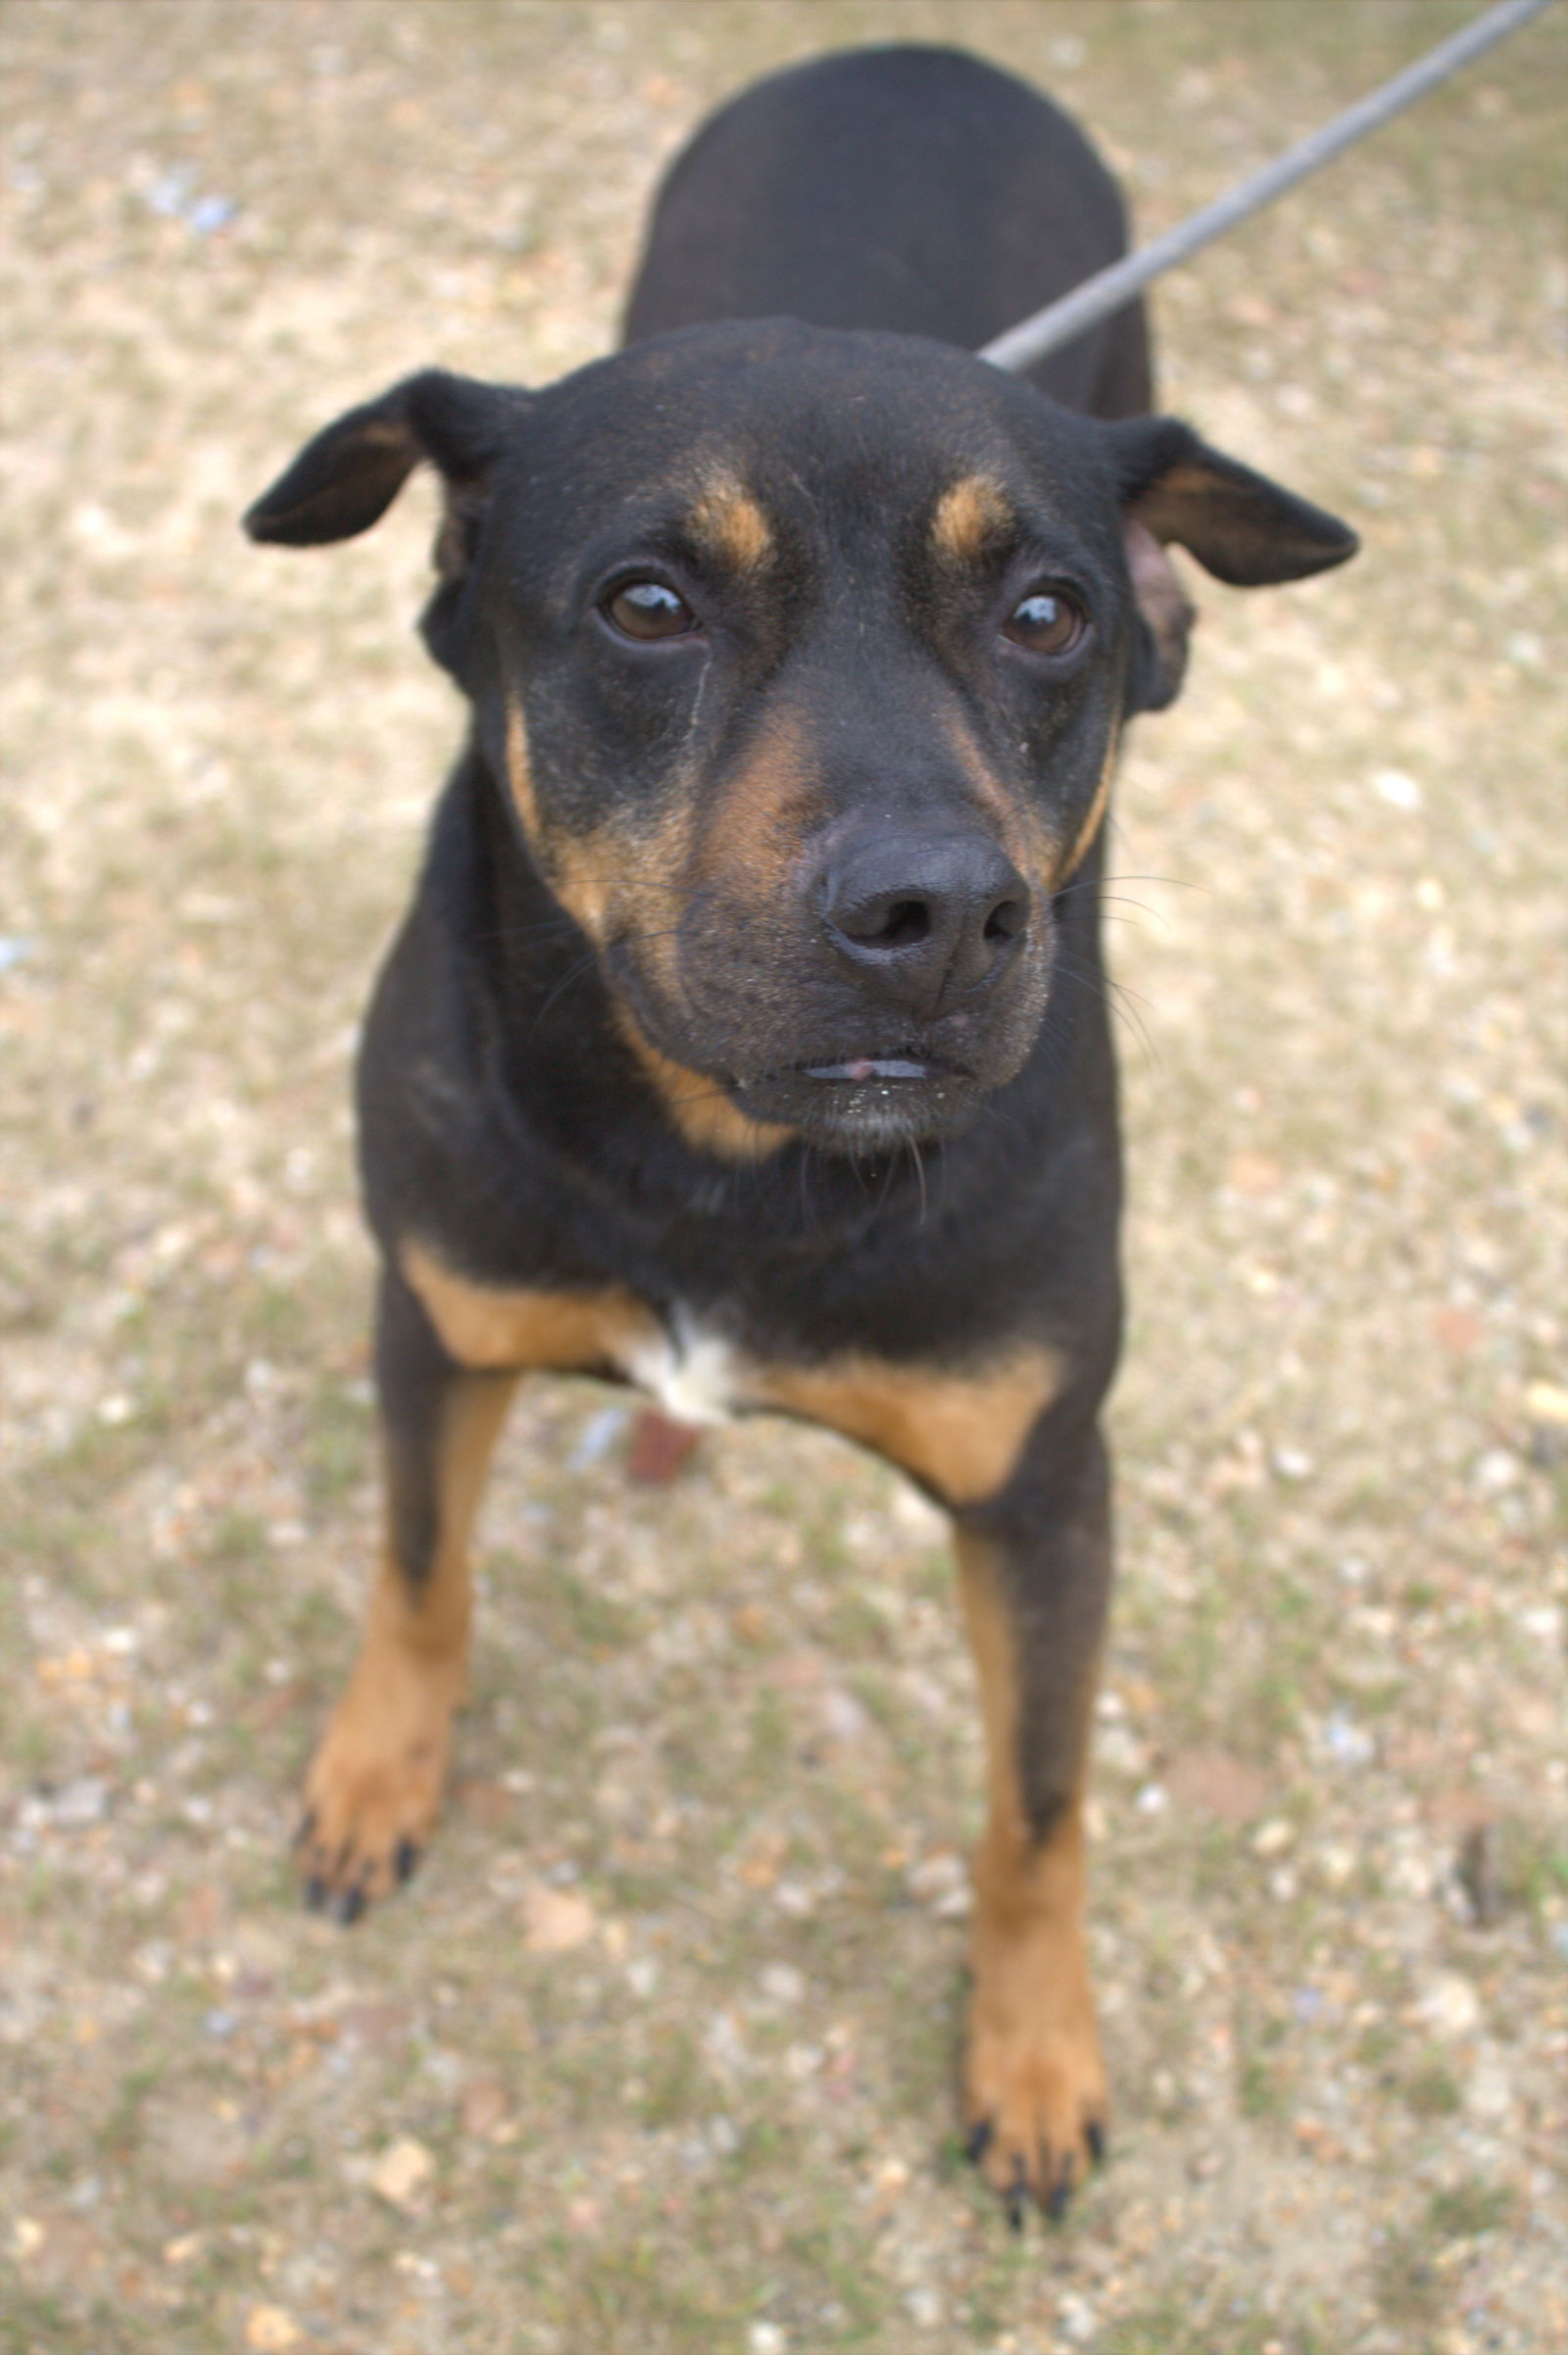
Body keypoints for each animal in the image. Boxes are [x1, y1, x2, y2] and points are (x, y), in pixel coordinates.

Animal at [241, 45, 1347, 2213]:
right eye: (646, 600)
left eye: (1049, 613)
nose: (940, 913)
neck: (723, 1162)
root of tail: (926, 56)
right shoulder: (432, 1317)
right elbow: (418, 1571)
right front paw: (375, 1775)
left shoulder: (1042, 1482)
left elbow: (1039, 1803)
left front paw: (1032, 2049)